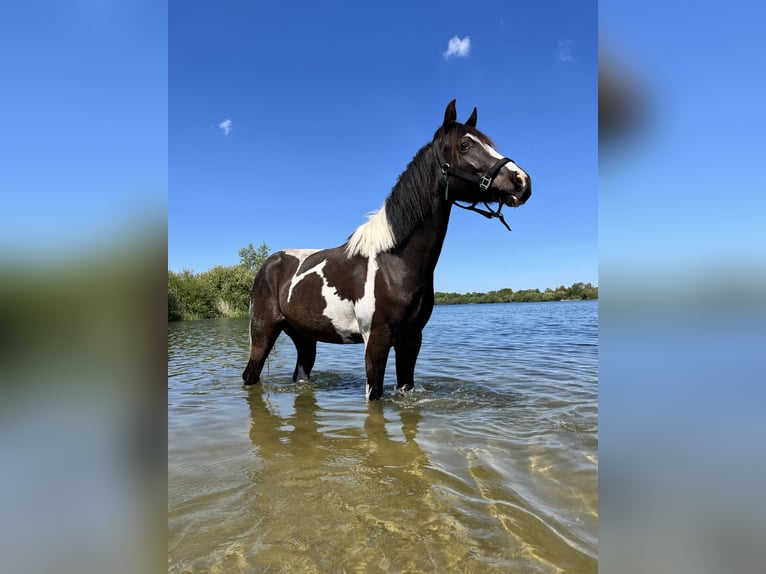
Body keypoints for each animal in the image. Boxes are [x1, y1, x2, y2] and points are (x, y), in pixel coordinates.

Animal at [242, 100, 531, 400]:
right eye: (465, 145)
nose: (522, 181)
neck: (395, 262)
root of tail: (269, 263)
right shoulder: (376, 340)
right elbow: (375, 395)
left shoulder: (411, 340)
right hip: (262, 332)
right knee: (250, 374)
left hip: (304, 338)